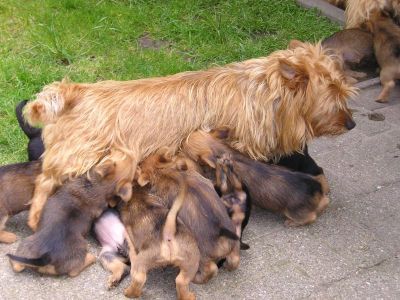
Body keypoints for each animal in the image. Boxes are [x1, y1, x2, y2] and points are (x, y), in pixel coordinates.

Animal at [183, 130, 330, 226]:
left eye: (186, 147)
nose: (181, 143)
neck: (219, 149)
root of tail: (315, 187)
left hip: (294, 211)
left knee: (311, 216)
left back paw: (291, 222)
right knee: (325, 201)